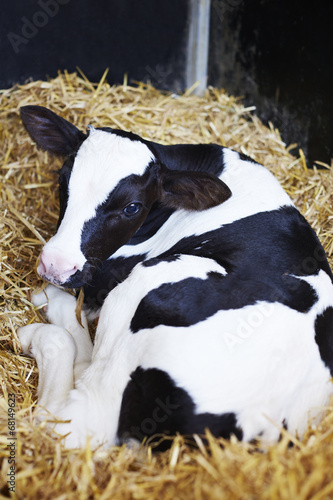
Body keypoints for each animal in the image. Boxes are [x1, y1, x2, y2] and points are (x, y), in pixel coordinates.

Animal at [17, 105, 332, 450]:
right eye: (63, 180)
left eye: (132, 207)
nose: (56, 265)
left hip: (146, 290)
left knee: (69, 417)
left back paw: (38, 327)